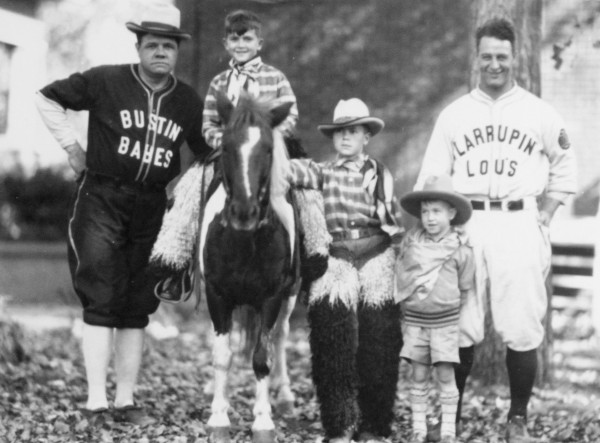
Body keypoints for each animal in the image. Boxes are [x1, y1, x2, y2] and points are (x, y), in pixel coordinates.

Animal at [200, 92, 300, 442]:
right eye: (227, 146)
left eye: (268, 149)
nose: (244, 212)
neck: (243, 242)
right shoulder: (216, 295)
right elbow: (221, 356)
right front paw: (218, 417)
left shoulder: (271, 297)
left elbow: (261, 358)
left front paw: (263, 421)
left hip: (290, 296)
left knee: (281, 337)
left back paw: (284, 398)